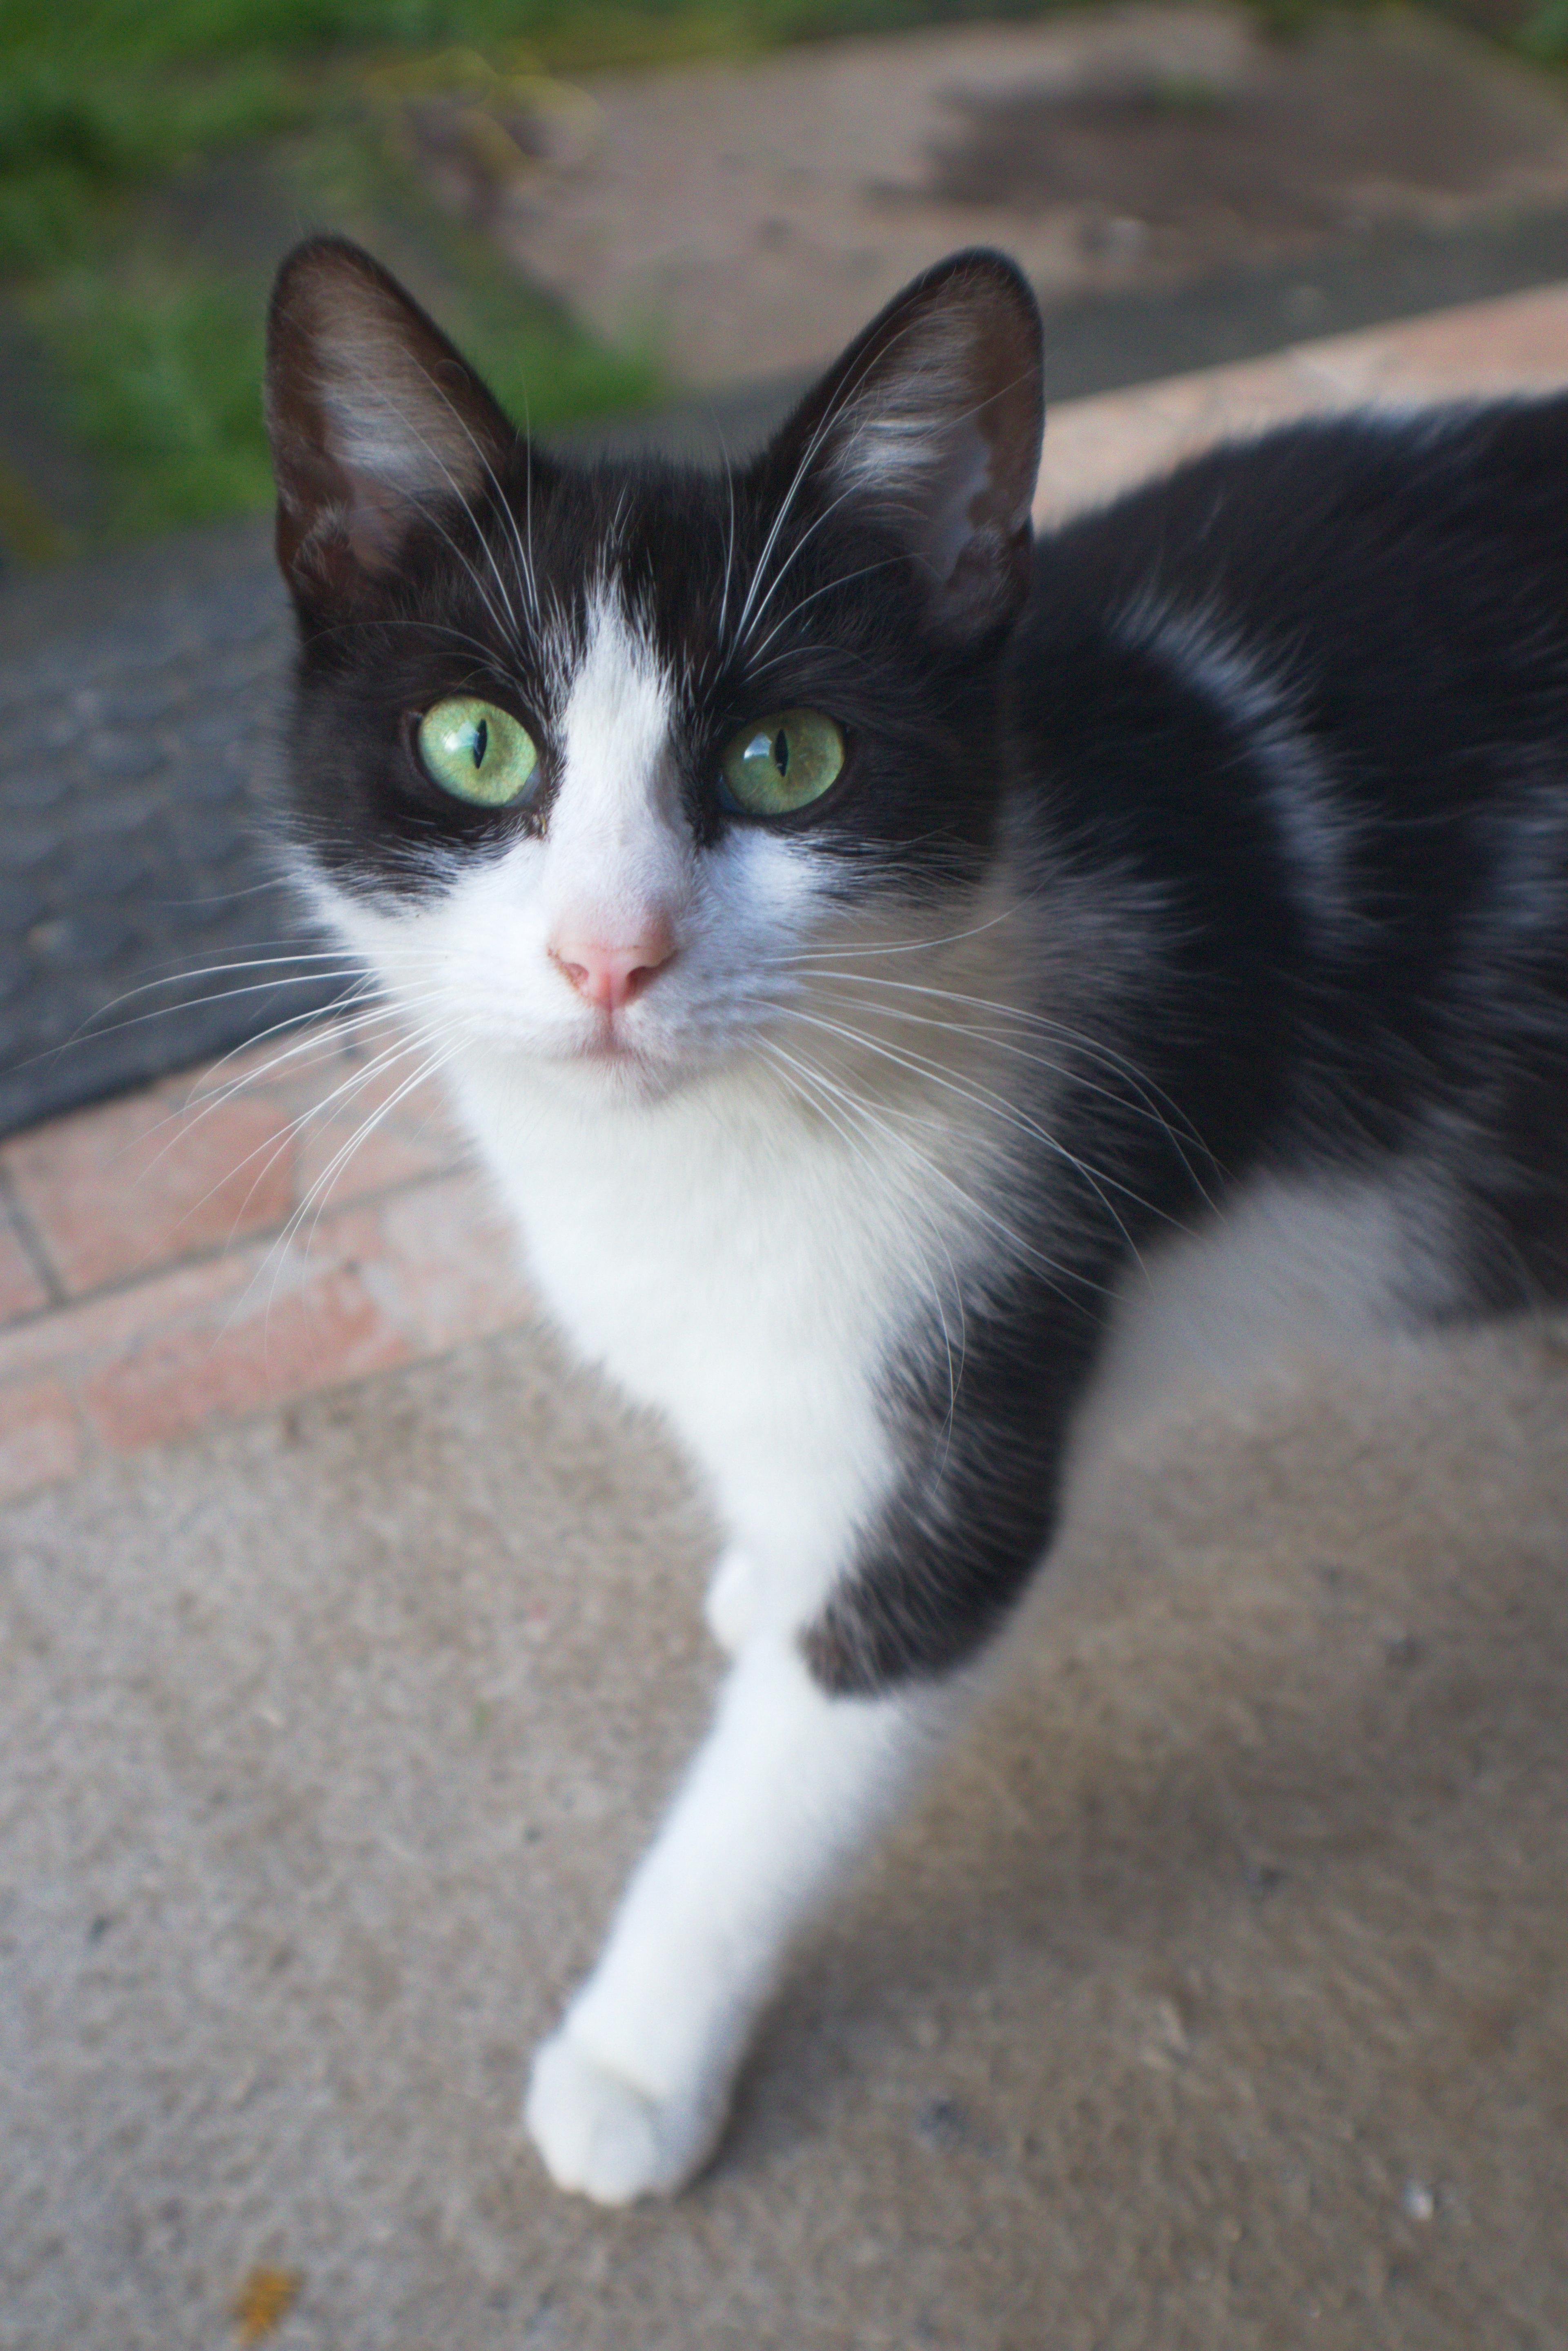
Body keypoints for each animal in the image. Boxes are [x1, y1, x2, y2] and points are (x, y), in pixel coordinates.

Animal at [261, 229, 1568, 2191]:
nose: (608, 954)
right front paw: (764, 1566)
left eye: (787, 760)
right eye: (476, 746)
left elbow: (803, 1755)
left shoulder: (990, 1348)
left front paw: (637, 2057)